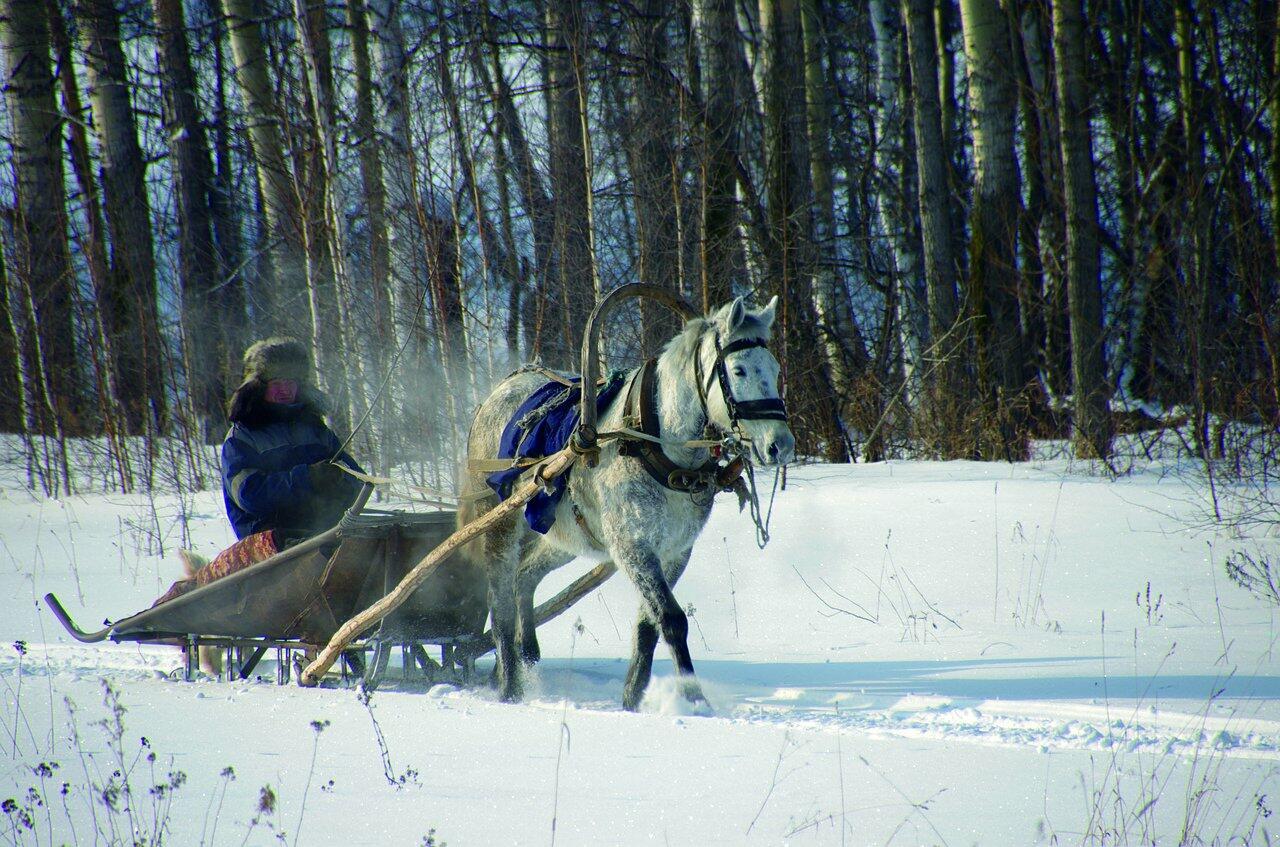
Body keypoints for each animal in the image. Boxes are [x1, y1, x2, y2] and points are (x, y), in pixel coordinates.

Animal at [455, 298, 793, 711]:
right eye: (739, 369)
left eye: (775, 369)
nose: (781, 445)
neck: (657, 441)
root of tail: (497, 391)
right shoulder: (632, 546)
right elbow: (672, 619)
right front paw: (694, 698)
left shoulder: (675, 551)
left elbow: (650, 624)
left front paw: (634, 696)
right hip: (498, 518)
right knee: (500, 593)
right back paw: (509, 684)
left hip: (564, 536)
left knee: (525, 577)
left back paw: (523, 657)